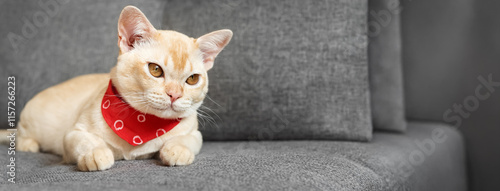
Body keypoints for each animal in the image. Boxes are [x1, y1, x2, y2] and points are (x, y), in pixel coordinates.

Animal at [10, 5, 232, 171]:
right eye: (155, 70)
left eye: (193, 79)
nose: (175, 95)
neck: (142, 124)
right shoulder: (72, 134)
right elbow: (86, 141)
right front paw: (96, 153)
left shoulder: (195, 133)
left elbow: (187, 140)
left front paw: (177, 150)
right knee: (20, 135)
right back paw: (28, 145)